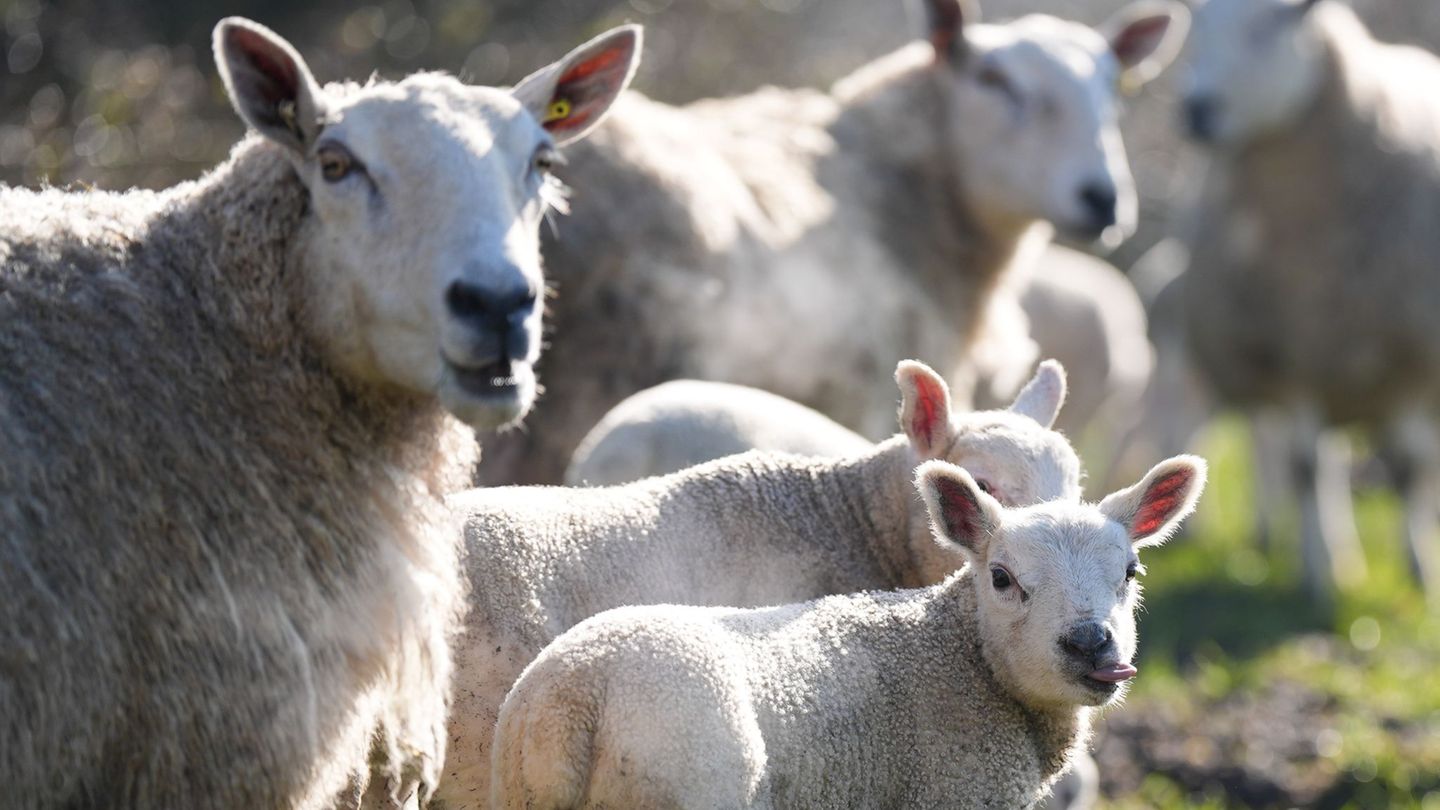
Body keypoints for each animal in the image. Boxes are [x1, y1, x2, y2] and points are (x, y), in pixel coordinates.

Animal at [491, 454, 1207, 809]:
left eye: (1131, 571)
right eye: (1002, 578)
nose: (1091, 643)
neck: (962, 660)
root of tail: (575, 698)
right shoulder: (955, 792)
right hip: (686, 775)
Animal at [1179, 0, 1440, 605]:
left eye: (1272, 24)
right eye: (1195, 31)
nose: (1196, 110)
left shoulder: (1410, 357)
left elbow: (1411, 468)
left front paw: (1420, 571)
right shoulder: (1289, 351)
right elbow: (1304, 468)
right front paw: (1322, 577)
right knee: (1278, 449)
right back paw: (1285, 541)